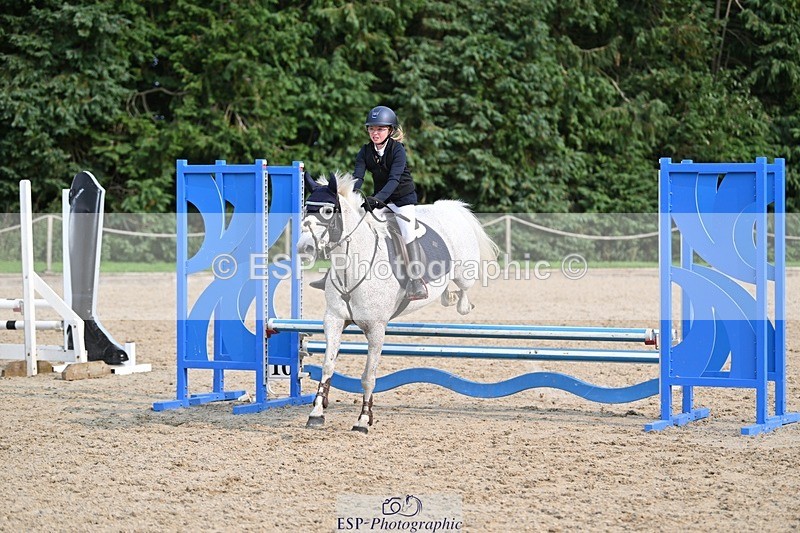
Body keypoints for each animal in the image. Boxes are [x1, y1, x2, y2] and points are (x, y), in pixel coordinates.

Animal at [298, 172, 498, 433]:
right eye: (306, 209)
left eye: (328, 211)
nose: (304, 248)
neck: (353, 265)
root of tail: (449, 207)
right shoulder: (333, 319)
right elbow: (328, 366)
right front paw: (316, 412)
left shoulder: (376, 328)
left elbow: (368, 376)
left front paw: (363, 419)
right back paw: (447, 295)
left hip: (465, 271)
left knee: (464, 291)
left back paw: (459, 302)